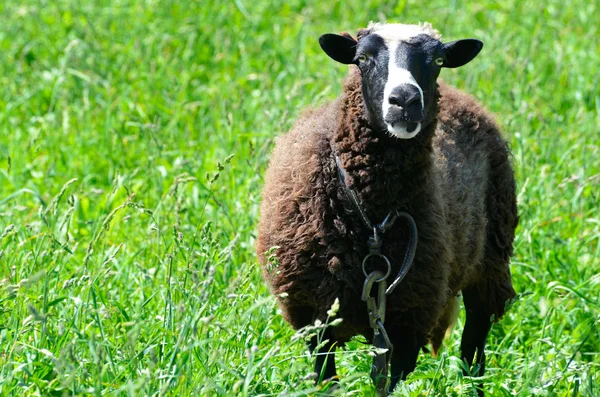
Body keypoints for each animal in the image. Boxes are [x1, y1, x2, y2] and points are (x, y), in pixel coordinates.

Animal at [255, 22, 516, 396]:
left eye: (438, 60)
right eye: (362, 58)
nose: (405, 100)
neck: (371, 216)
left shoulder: (408, 318)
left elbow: (390, 383)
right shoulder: (315, 315)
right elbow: (326, 381)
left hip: (490, 263)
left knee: (473, 352)